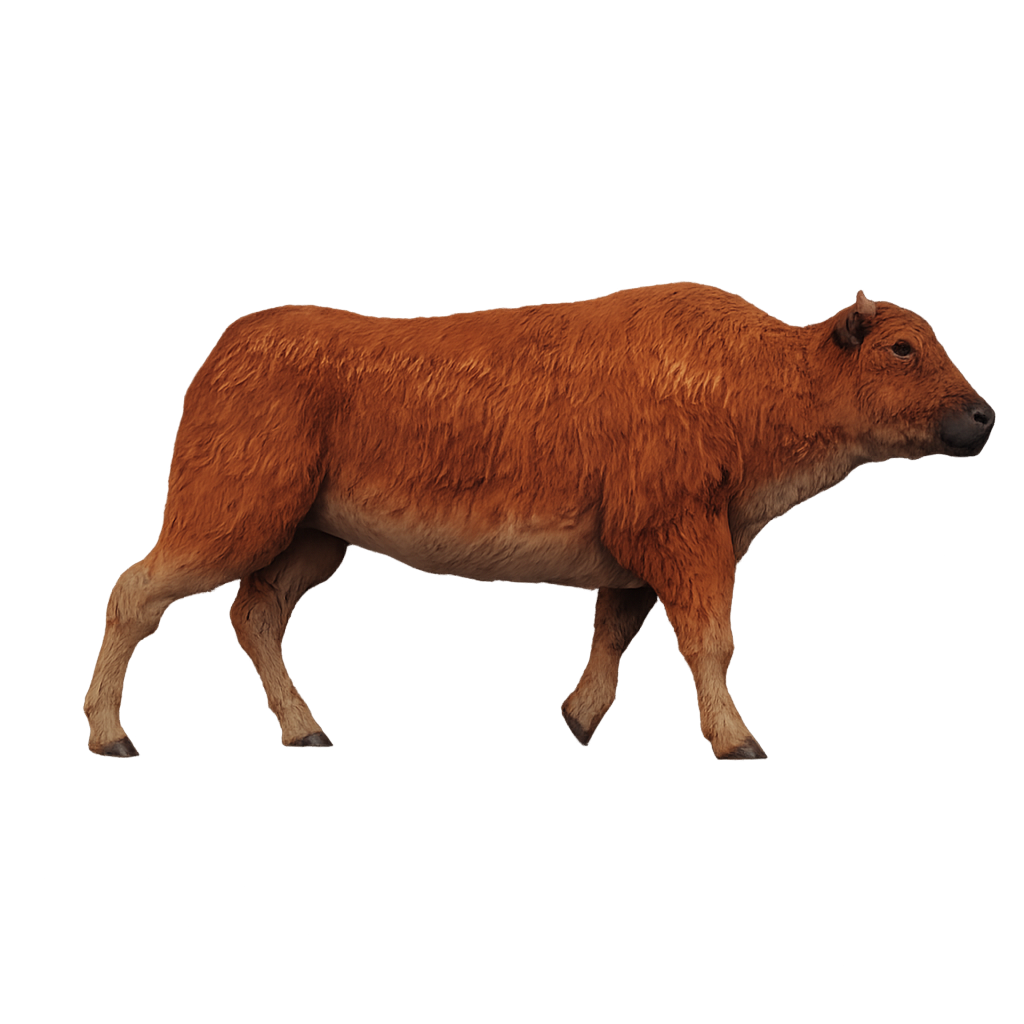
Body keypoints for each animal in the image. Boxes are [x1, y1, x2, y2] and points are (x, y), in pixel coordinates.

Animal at [84, 284, 994, 758]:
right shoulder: (685, 539)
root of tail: (236, 342)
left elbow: (616, 632)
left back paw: (307, 732)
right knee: (134, 594)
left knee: (256, 615)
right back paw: (109, 736)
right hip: (231, 518)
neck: (741, 375)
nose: (982, 415)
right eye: (902, 348)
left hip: (312, 540)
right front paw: (738, 741)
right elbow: (712, 640)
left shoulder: (638, 560)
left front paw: (578, 720)